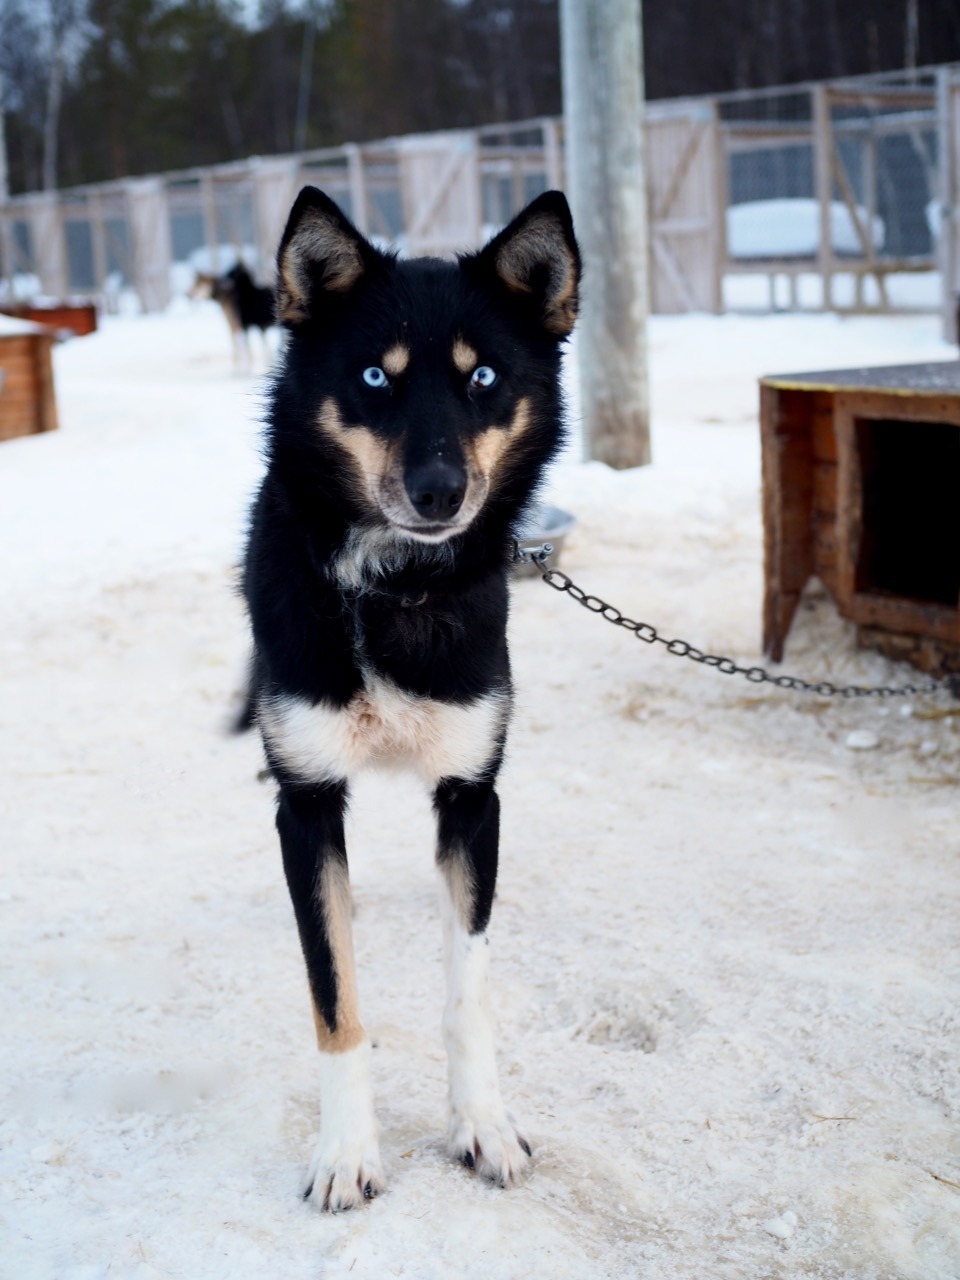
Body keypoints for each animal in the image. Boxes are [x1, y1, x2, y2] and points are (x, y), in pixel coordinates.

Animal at [244, 186, 583, 1208]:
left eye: (484, 379)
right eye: (373, 376)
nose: (440, 491)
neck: (392, 591)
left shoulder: (473, 797)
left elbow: (468, 989)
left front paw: (483, 1126)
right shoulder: (308, 803)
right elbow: (335, 997)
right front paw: (346, 1152)